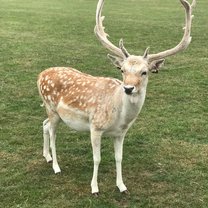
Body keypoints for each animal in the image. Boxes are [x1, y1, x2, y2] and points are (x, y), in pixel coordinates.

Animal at [37, 0, 195, 196]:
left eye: (144, 72)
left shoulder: (121, 133)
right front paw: (94, 188)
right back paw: (56, 167)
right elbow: (97, 158)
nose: (128, 88)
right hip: (51, 107)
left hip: (53, 112)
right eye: (122, 70)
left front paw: (122, 186)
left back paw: (48, 157)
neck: (120, 117)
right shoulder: (95, 127)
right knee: (52, 132)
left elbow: (119, 158)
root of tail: (40, 75)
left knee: (44, 124)